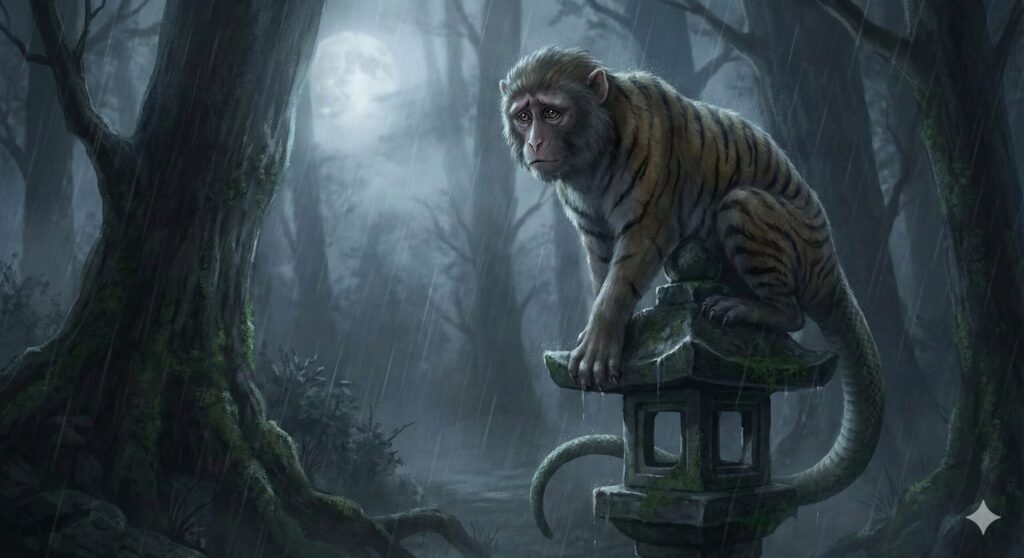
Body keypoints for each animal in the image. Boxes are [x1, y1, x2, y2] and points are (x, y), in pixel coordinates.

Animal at [499, 46, 884, 533]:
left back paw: (747, 309)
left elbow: (619, 280)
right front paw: (603, 335)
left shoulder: (648, 218)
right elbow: (602, 274)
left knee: (790, 309)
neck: (591, 158)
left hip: (751, 211)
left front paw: (598, 347)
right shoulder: (592, 229)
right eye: (523, 116)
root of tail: (832, 264)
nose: (534, 143)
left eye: (552, 113)